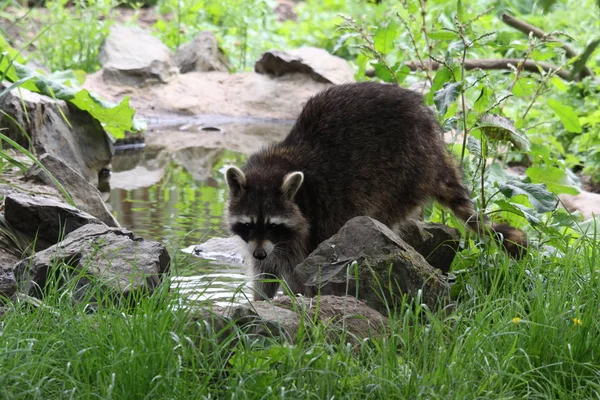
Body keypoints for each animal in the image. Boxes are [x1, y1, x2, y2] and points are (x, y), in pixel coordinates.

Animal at [224, 82, 524, 300]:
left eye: (274, 225)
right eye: (248, 225)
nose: (258, 253)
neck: (276, 167)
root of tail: (435, 145)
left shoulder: (311, 219)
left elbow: (299, 269)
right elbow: (265, 274)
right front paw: (260, 301)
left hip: (402, 173)